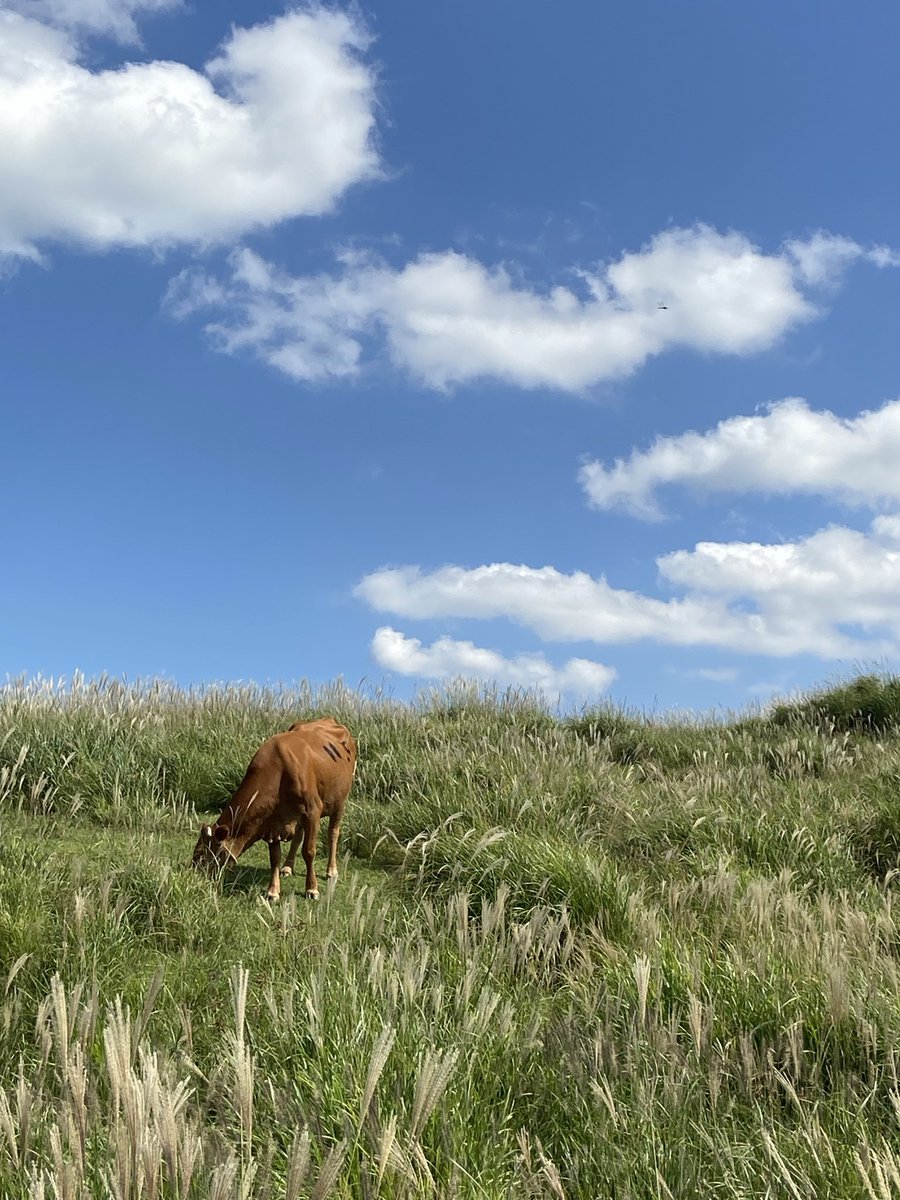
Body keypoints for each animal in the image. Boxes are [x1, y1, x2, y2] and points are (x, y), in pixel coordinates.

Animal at [192, 717, 357, 901]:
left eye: (201, 855)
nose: (194, 880)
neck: (279, 773)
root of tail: (329, 719)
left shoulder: (312, 811)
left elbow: (309, 851)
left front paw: (311, 889)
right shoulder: (272, 822)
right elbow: (275, 857)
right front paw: (273, 891)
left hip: (340, 802)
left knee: (333, 832)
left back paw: (331, 870)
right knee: (298, 835)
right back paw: (288, 867)